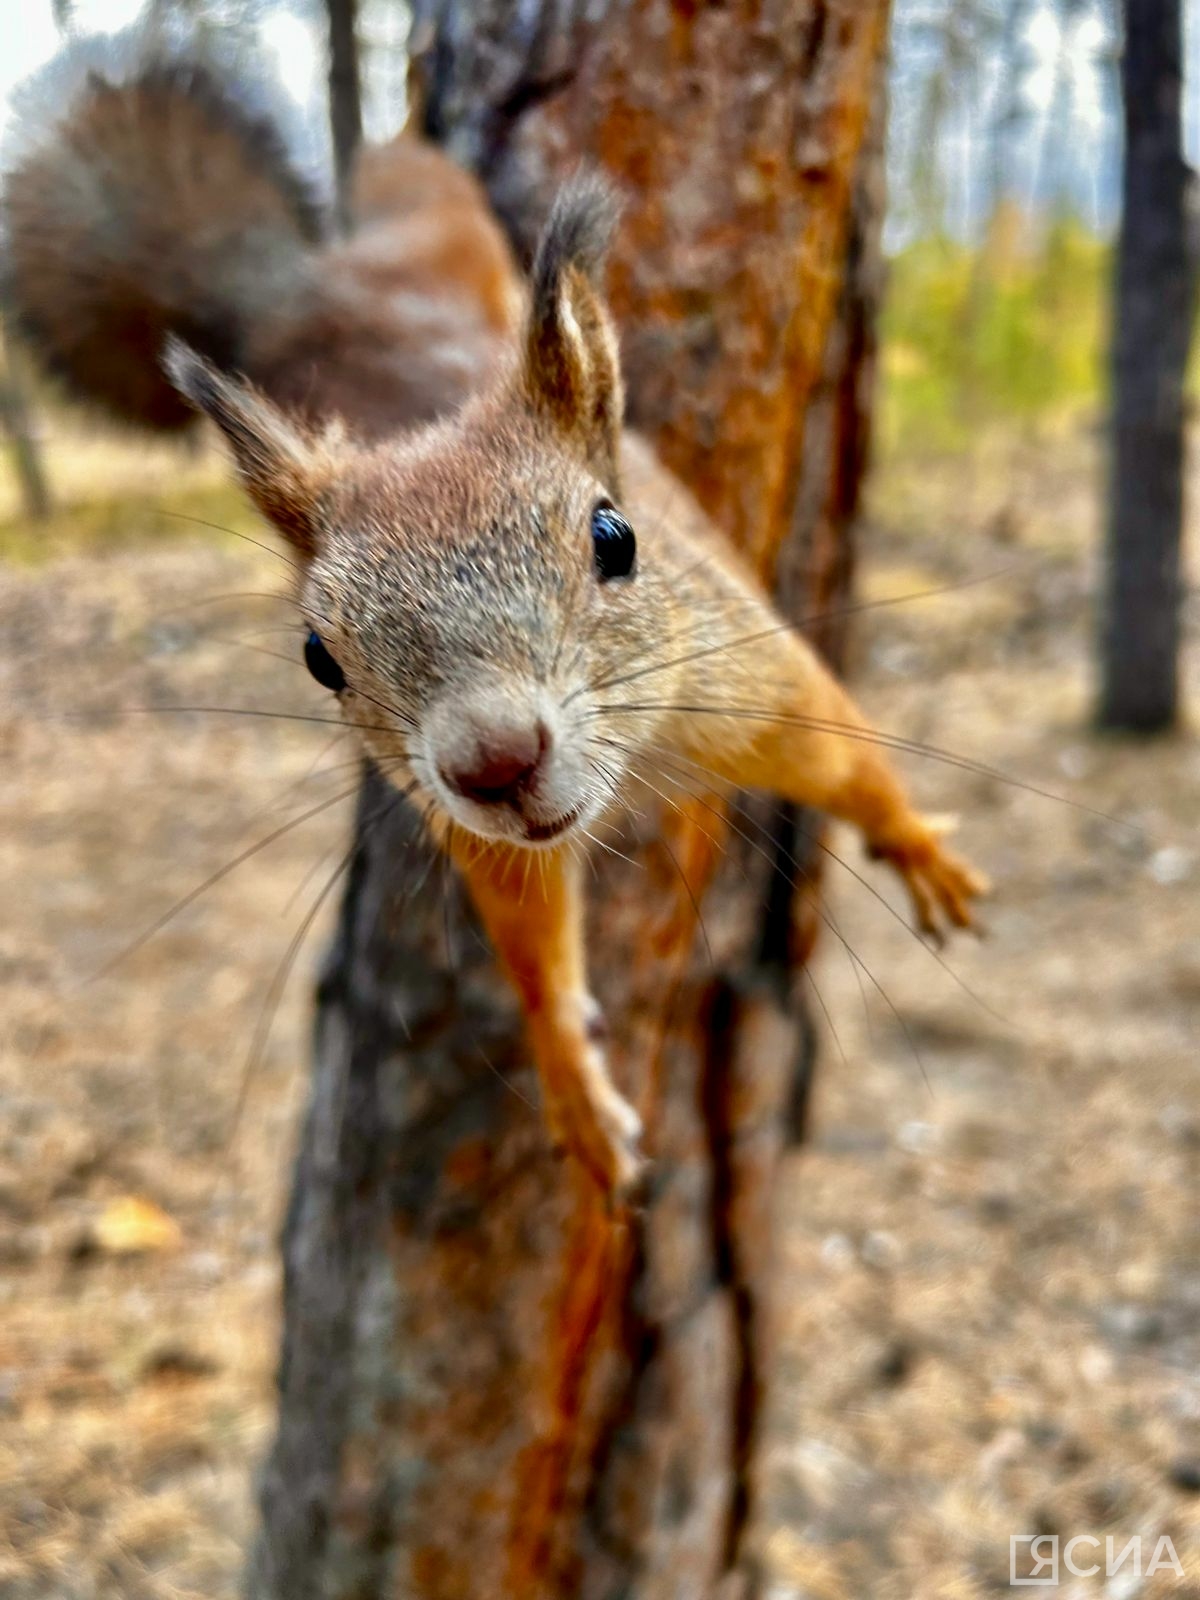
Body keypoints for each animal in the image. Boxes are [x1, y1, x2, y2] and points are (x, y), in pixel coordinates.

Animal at [2, 40, 985, 1203]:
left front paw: (916, 845)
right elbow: (529, 944)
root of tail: (303, 286)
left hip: (438, 213)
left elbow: (847, 758)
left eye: (615, 538)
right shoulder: (478, 831)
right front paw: (573, 1083)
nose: (494, 764)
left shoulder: (744, 678)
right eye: (318, 657)